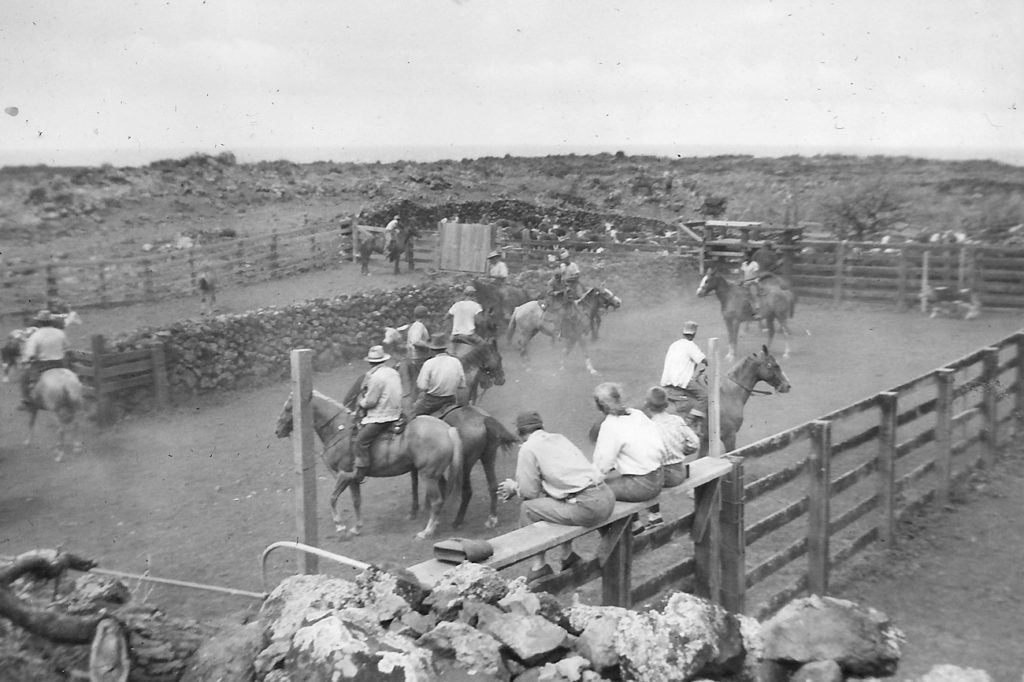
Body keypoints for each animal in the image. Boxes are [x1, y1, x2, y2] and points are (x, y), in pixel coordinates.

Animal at [274, 391, 462, 540]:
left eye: (289, 407)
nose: (277, 430)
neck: (339, 429)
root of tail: (447, 429)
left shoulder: (344, 475)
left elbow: (332, 498)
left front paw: (340, 526)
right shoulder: (354, 479)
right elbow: (356, 501)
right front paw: (357, 528)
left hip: (427, 476)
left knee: (437, 501)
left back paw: (426, 532)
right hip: (435, 475)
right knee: (442, 494)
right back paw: (435, 523)